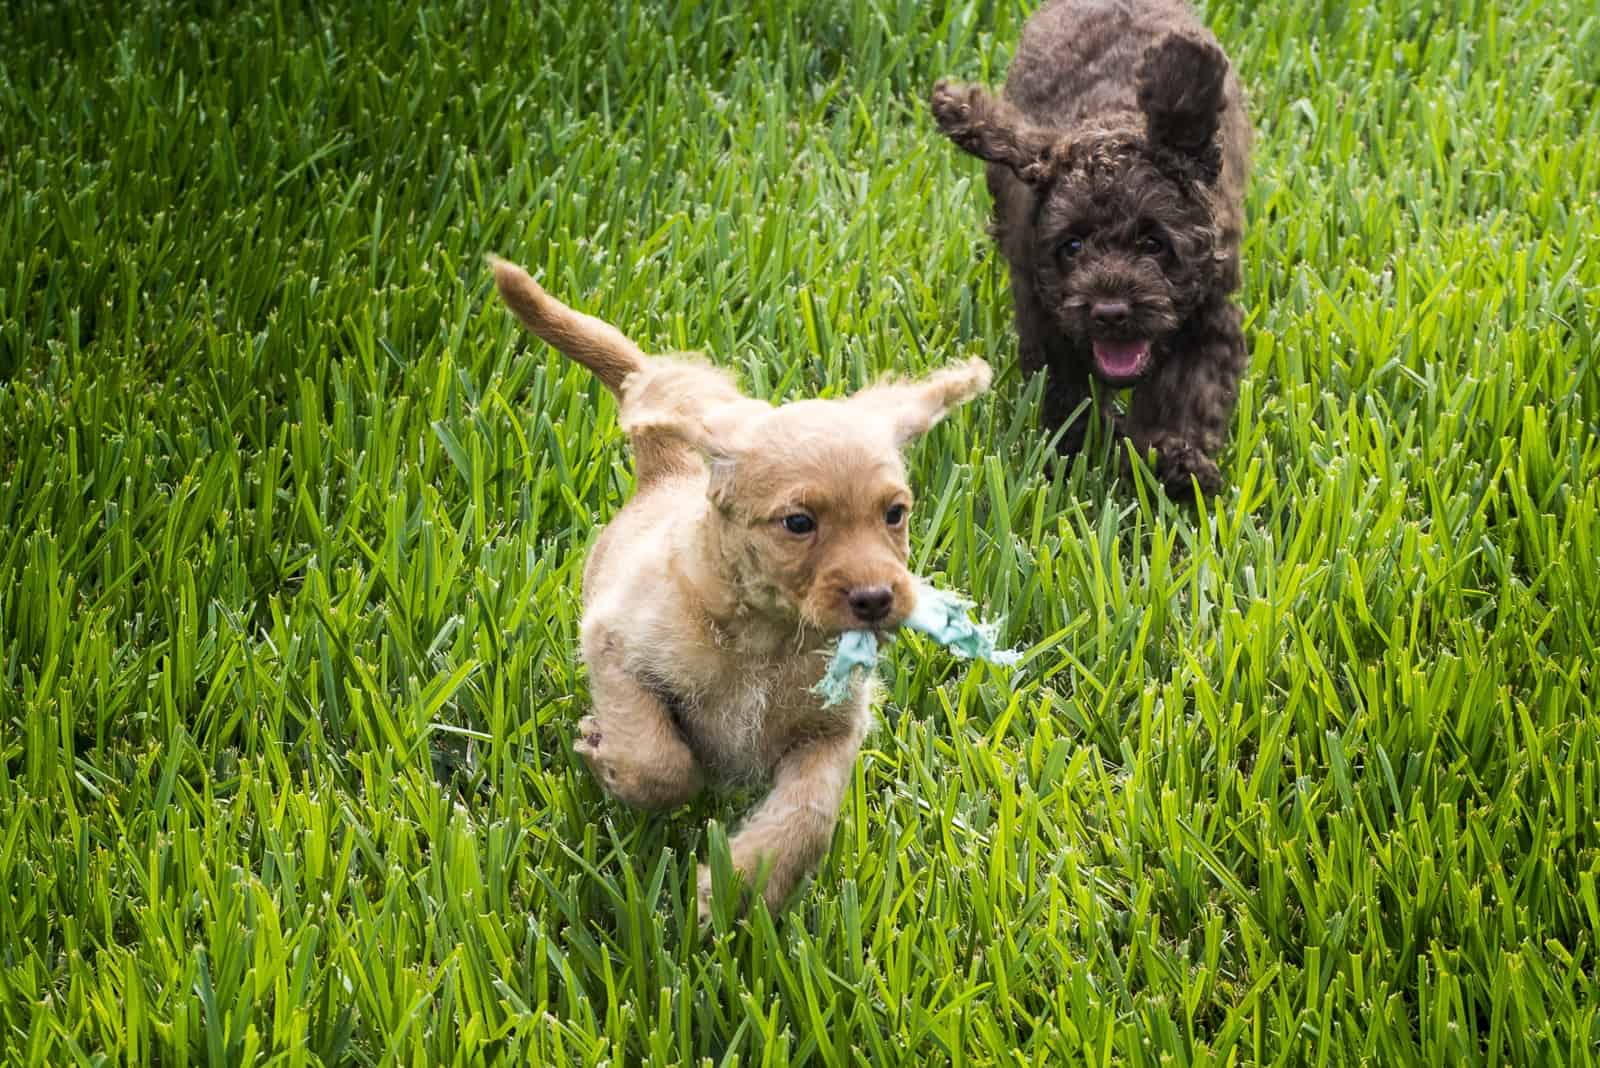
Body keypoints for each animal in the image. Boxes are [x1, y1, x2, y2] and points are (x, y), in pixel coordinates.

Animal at [934, 0, 1254, 495]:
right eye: (1072, 245)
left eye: (1154, 243)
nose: (1110, 312)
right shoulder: (1046, 317)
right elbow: (1070, 392)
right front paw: (1073, 456)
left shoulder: (1210, 315)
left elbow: (1187, 394)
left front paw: (1174, 464)